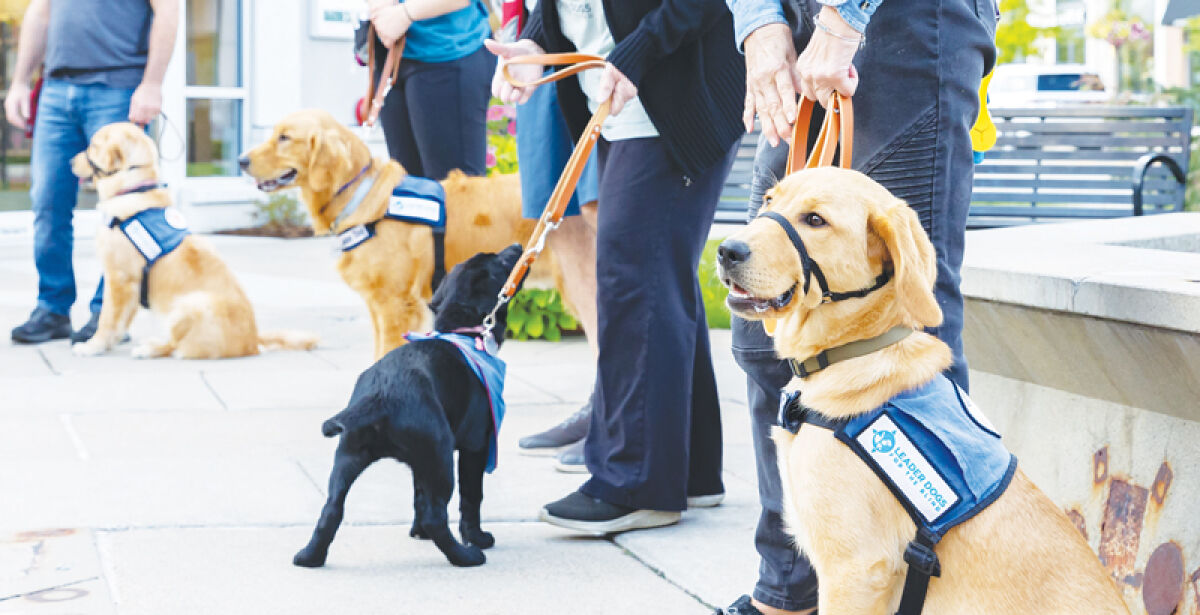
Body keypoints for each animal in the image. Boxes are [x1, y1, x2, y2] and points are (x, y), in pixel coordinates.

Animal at [70, 121, 319, 357]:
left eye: (92, 146)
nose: (71, 161)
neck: (134, 190)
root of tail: (253, 342)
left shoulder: (119, 279)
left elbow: (107, 320)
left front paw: (93, 346)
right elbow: (119, 323)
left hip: (189, 304)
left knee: (176, 346)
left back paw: (149, 348)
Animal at [292, 243, 523, 566]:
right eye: (500, 263)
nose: (517, 246)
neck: (461, 333)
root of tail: (381, 394)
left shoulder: (420, 462)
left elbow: (418, 496)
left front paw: (418, 534)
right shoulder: (475, 446)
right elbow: (471, 497)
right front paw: (476, 537)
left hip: (351, 455)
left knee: (331, 508)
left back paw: (310, 556)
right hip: (441, 457)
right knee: (436, 516)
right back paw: (465, 556)